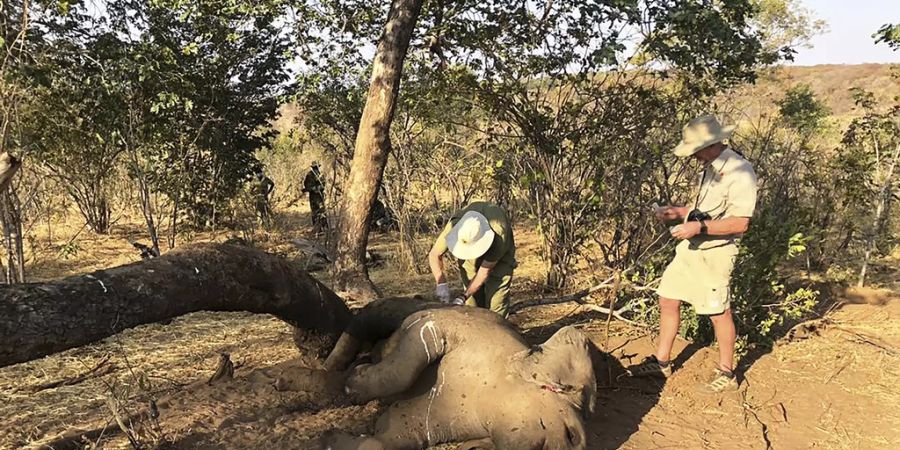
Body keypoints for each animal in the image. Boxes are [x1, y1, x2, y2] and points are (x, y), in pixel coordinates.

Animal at [320, 298, 596, 450]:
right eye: (534, 349)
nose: (575, 440)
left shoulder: (414, 424)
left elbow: (376, 442)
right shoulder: (431, 326)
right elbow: (401, 372)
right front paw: (355, 383)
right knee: (361, 327)